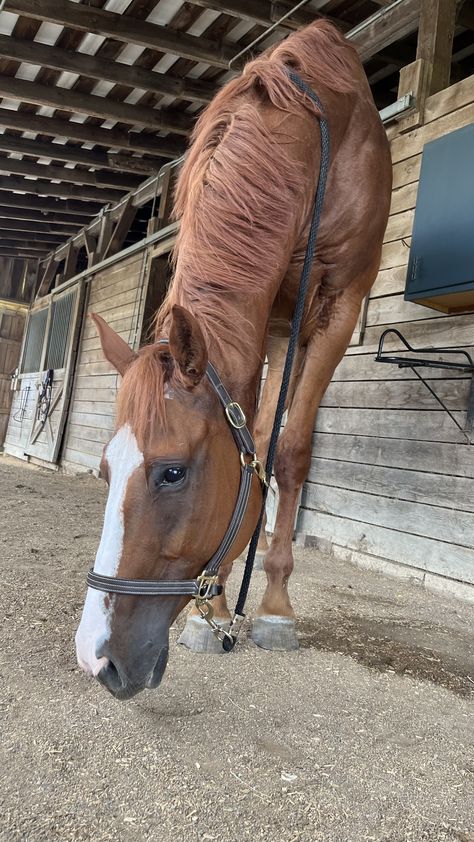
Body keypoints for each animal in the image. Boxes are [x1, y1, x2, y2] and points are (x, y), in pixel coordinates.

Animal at [76, 19, 390, 700]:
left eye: (172, 473)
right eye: (104, 473)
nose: (97, 660)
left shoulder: (337, 306)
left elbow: (290, 451)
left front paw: (274, 607)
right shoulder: (267, 315)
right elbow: (261, 442)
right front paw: (213, 610)